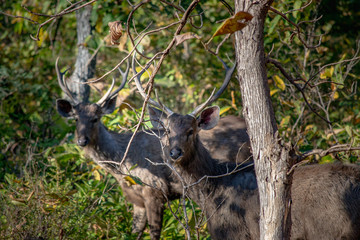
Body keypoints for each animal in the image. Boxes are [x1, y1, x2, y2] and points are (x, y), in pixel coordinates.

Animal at [56, 55, 252, 238]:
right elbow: (135, 232)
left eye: (95, 119)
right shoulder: (137, 199)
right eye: (75, 119)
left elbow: (154, 233)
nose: (82, 141)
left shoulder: (155, 191)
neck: (123, 163)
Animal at [134, 57, 360, 238]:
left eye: (191, 131)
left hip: (336, 230)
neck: (211, 194)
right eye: (167, 130)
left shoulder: (233, 232)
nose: (174, 152)